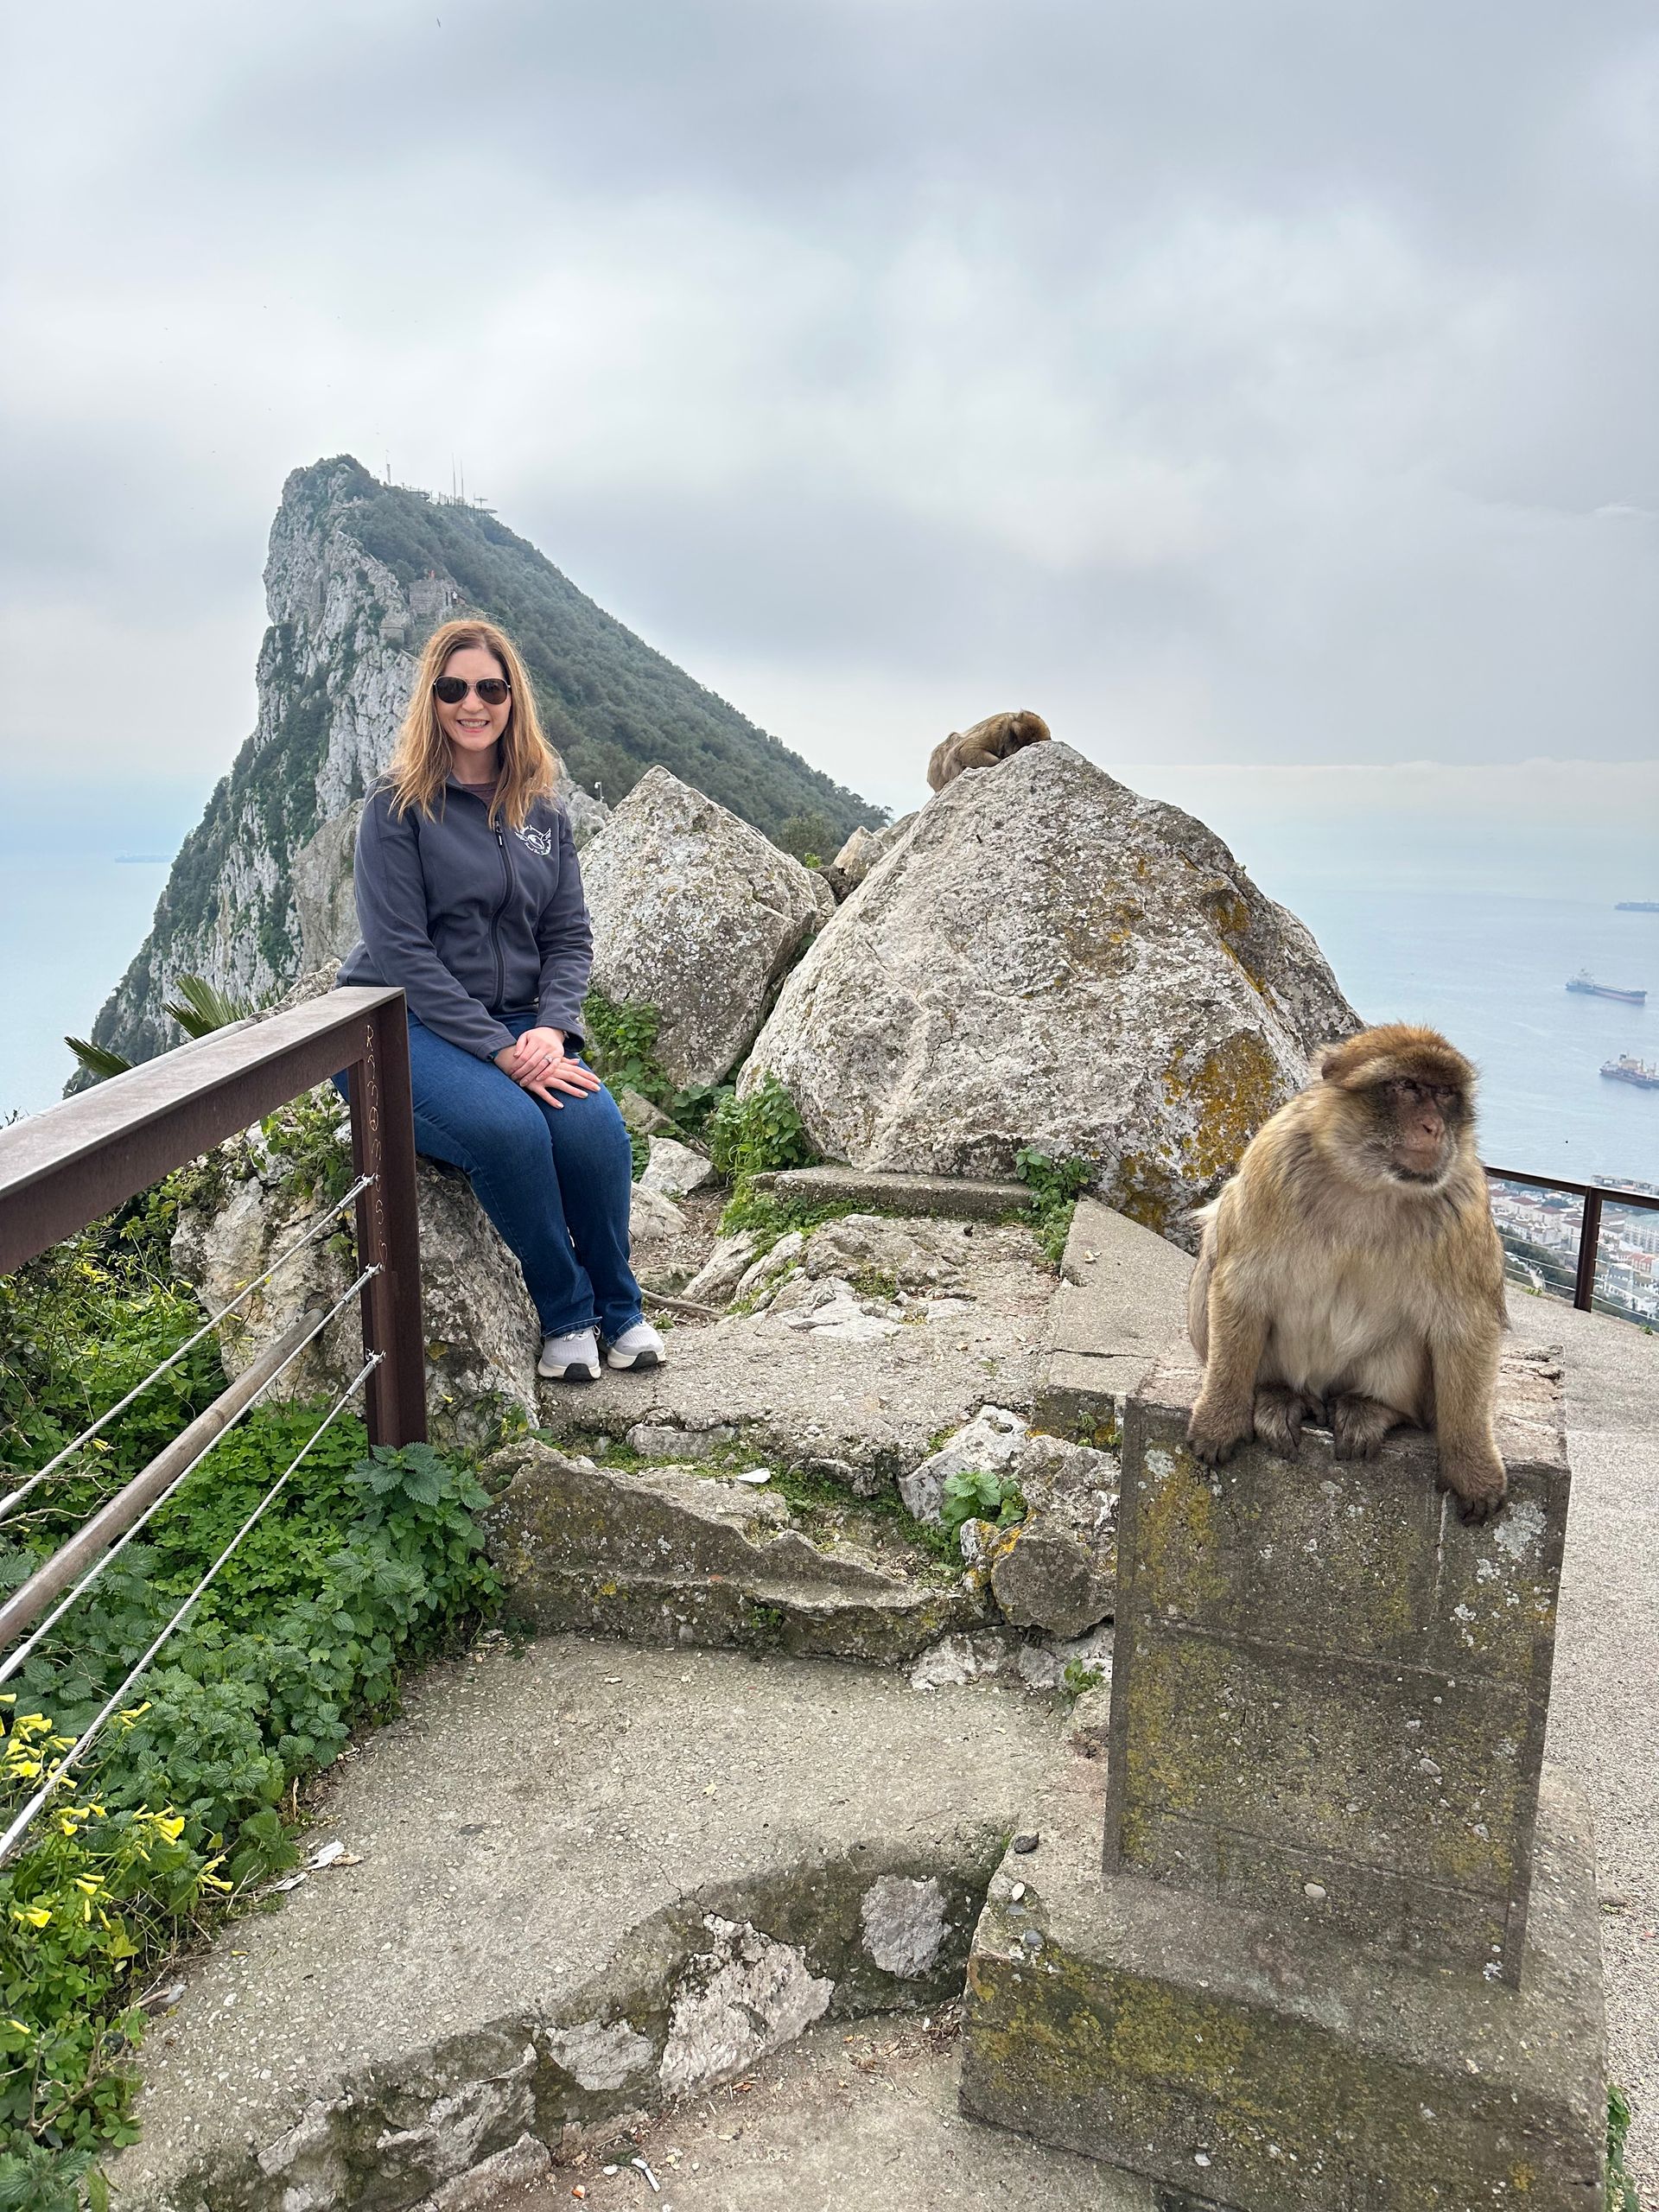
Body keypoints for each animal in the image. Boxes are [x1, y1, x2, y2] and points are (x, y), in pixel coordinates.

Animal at [1184, 1024, 1509, 1522]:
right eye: (1407, 1087)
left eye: (1444, 1094)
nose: (1434, 1127)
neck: (1369, 1184)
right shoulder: (1274, 1160)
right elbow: (1243, 1286)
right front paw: (1219, 1420)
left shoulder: (1464, 1201)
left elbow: (1467, 1326)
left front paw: (1472, 1467)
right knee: (1218, 1239)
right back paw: (1276, 1394)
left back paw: (1375, 1408)